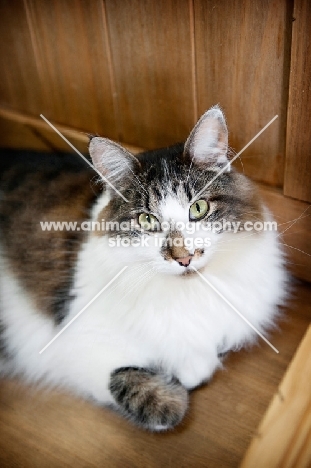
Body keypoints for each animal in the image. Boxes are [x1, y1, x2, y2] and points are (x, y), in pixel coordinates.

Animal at [0, 106, 288, 432]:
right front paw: (171, 394)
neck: (187, 293)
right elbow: (129, 382)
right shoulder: (74, 342)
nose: (184, 258)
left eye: (198, 208)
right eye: (147, 221)